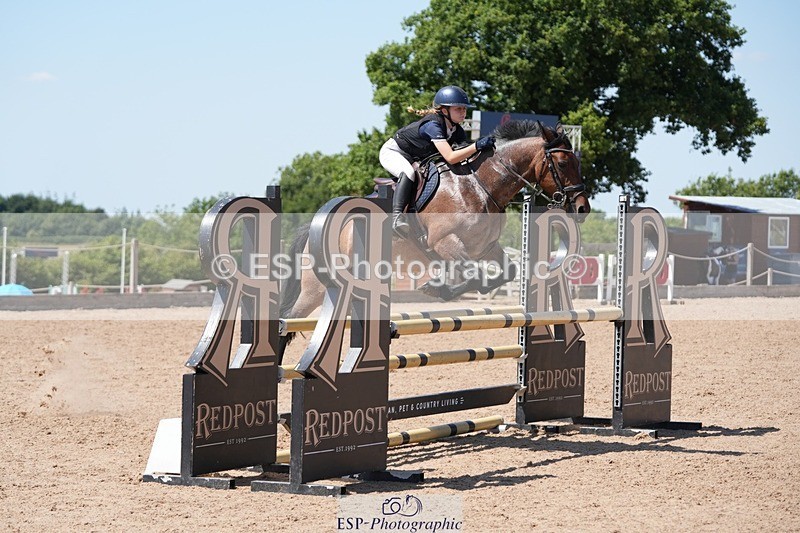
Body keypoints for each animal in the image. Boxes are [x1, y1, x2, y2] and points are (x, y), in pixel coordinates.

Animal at [278, 120, 590, 351]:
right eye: (563, 164)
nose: (582, 208)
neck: (479, 185)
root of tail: (315, 228)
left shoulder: (485, 247)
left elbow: (505, 272)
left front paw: (441, 287)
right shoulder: (445, 243)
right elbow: (474, 275)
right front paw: (437, 288)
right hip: (316, 288)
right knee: (288, 320)